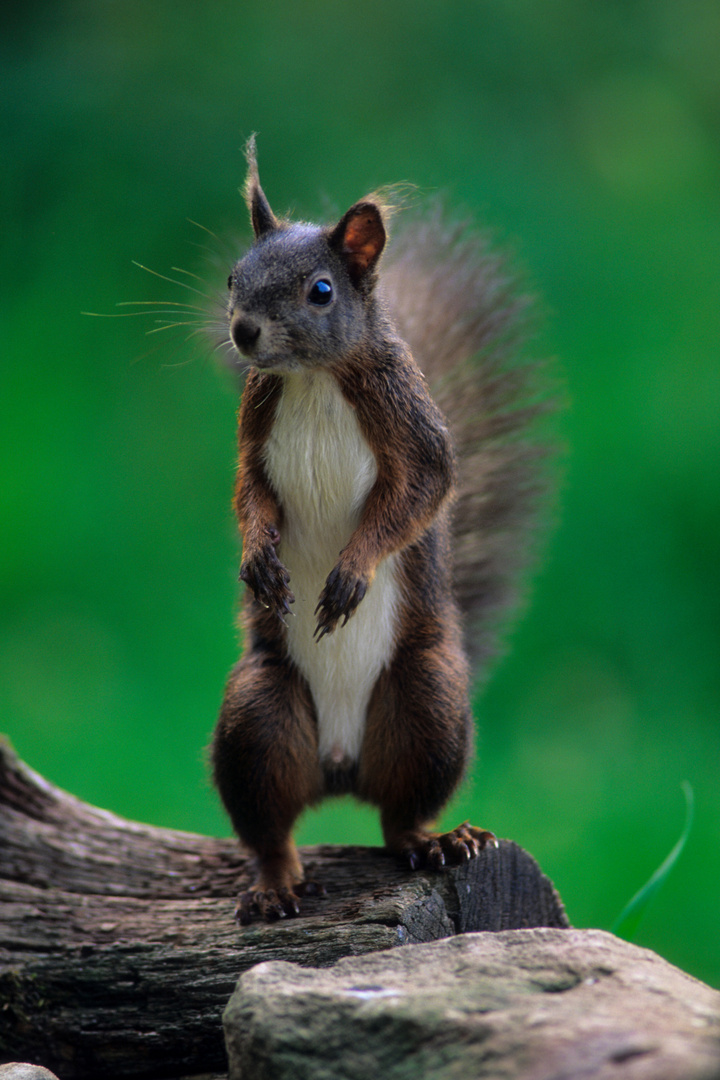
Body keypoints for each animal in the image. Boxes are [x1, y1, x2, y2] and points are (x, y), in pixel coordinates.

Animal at [211, 139, 548, 924]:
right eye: (235, 276)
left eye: (321, 291)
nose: (244, 331)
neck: (312, 377)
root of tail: (339, 765)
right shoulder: (253, 432)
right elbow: (250, 498)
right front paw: (258, 559)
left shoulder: (411, 425)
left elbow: (418, 495)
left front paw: (351, 573)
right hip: (259, 714)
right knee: (270, 826)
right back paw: (274, 883)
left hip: (428, 703)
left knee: (400, 814)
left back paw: (437, 840)